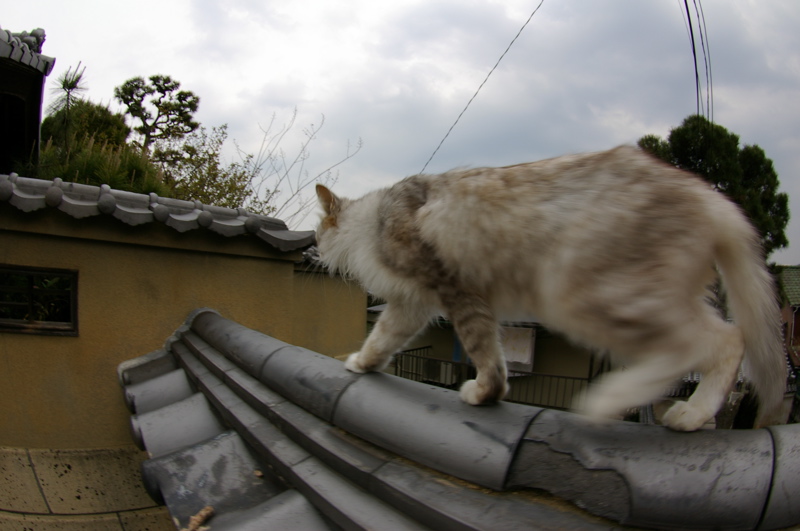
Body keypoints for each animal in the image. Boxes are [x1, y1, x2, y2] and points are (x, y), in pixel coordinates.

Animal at [314, 145, 788, 432]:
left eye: (318, 231)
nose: (314, 249)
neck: (372, 222)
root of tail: (707, 195)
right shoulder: (412, 303)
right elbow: (382, 339)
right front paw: (360, 362)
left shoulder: (459, 292)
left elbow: (485, 355)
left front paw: (485, 393)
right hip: (660, 298)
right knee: (725, 339)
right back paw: (692, 413)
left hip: (579, 294)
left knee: (705, 346)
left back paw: (621, 402)